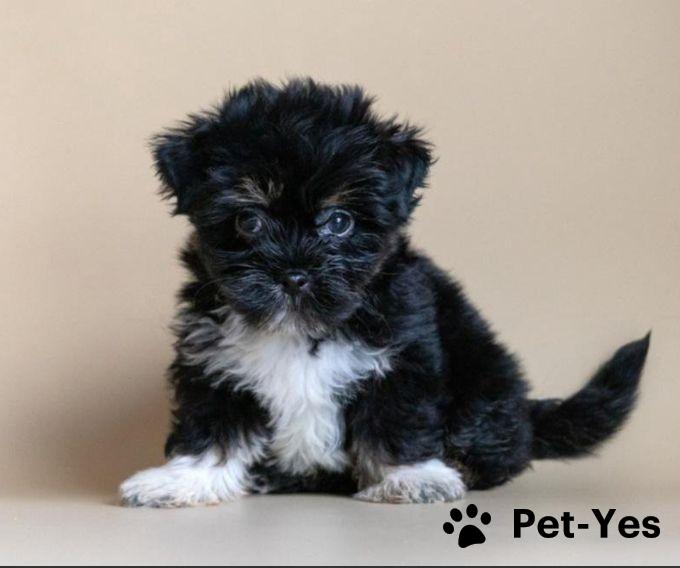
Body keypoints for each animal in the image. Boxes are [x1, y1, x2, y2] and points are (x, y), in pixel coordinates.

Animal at [120, 78, 650, 507]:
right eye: (249, 221)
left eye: (339, 222)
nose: (294, 273)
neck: (302, 329)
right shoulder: (213, 362)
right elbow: (212, 427)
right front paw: (183, 481)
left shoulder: (404, 353)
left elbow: (397, 418)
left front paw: (411, 478)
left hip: (485, 381)